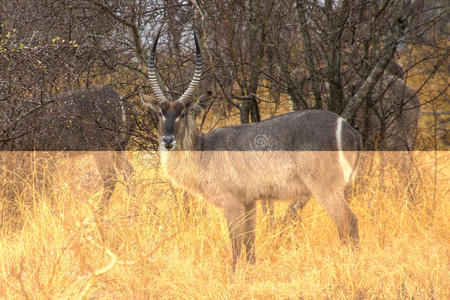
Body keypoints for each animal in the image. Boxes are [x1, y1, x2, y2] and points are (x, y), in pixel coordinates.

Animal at [1, 86, 135, 213]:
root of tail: (123, 102)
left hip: (102, 145)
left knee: (111, 178)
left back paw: (99, 213)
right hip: (119, 146)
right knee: (128, 171)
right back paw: (132, 208)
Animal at [142, 31, 364, 270]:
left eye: (182, 113)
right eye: (160, 113)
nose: (168, 140)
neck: (204, 151)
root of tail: (351, 130)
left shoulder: (231, 202)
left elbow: (237, 244)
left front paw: (234, 275)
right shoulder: (250, 202)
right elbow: (249, 245)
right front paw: (251, 271)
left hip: (325, 187)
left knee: (348, 222)